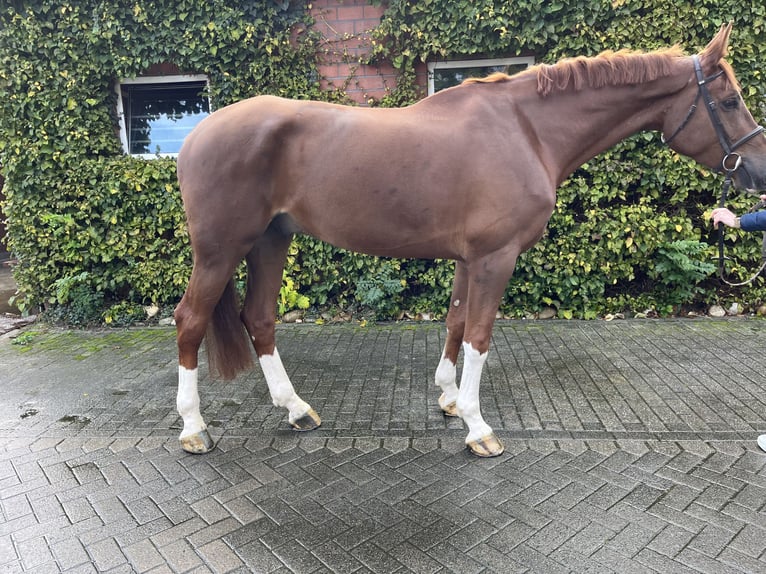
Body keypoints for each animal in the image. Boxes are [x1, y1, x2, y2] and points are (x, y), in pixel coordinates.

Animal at [174, 24, 766, 457]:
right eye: (729, 101)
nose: (758, 172)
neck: (526, 131)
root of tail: (197, 134)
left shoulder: (468, 258)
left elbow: (457, 322)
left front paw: (450, 398)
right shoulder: (494, 258)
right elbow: (480, 335)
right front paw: (479, 428)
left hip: (270, 242)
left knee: (259, 318)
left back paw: (296, 409)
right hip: (221, 250)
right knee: (190, 321)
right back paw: (194, 428)